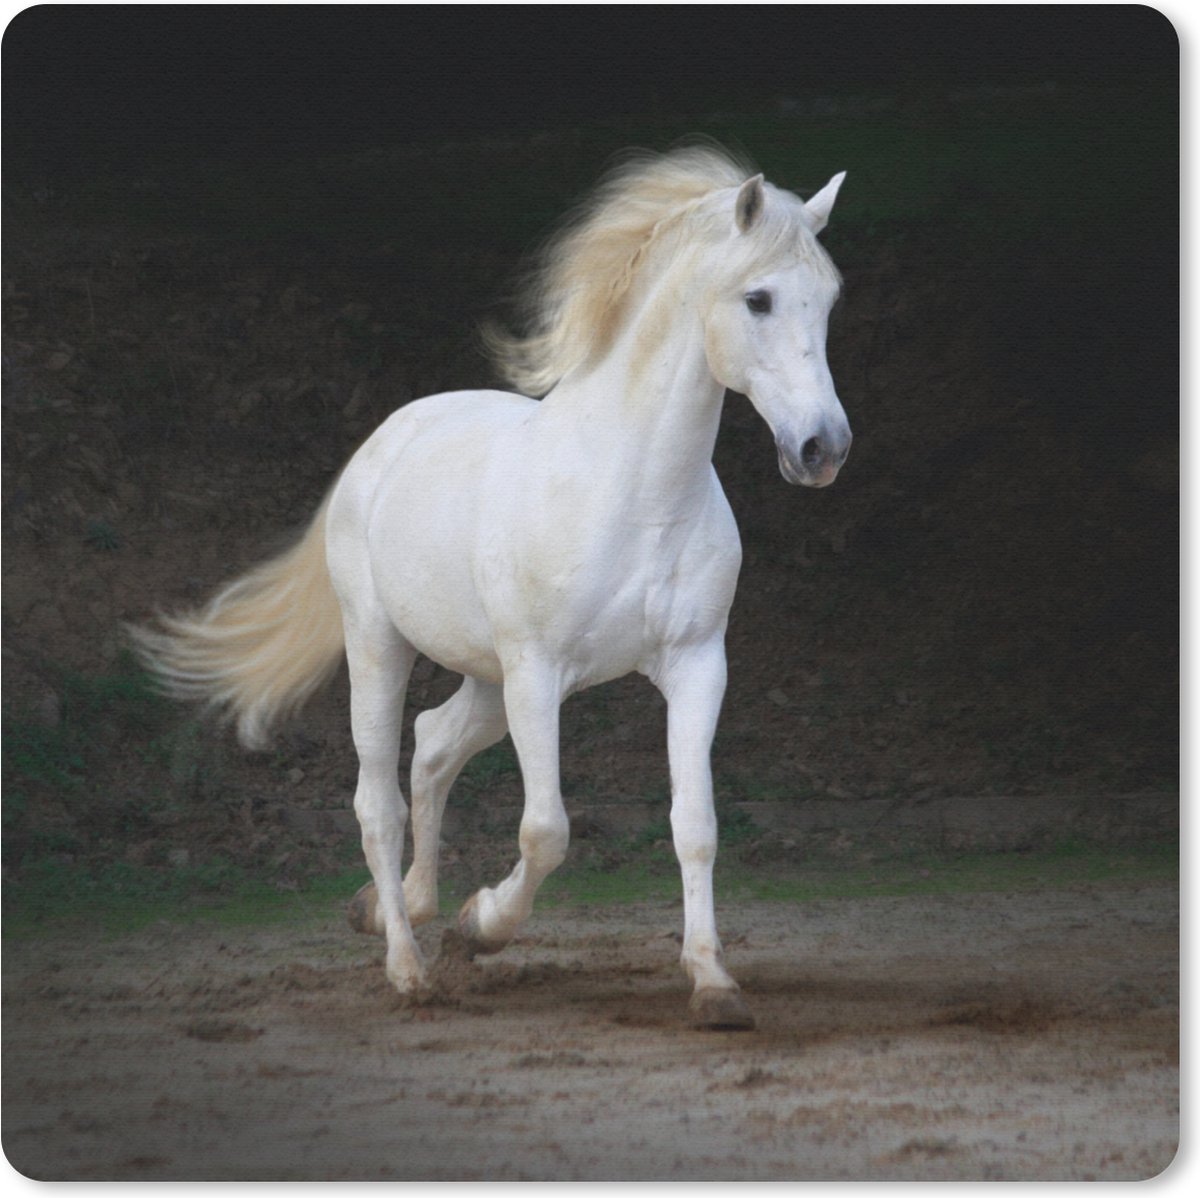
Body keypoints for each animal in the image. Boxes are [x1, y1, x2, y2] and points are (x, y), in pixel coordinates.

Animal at [133, 145, 851, 1030]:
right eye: (758, 298)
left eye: (829, 298)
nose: (822, 448)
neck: (633, 491)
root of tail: (385, 439)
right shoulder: (537, 674)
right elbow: (546, 829)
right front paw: (483, 928)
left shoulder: (695, 666)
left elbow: (697, 824)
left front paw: (714, 985)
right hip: (384, 647)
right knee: (378, 800)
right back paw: (408, 965)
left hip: (484, 678)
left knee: (434, 746)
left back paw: (403, 908)